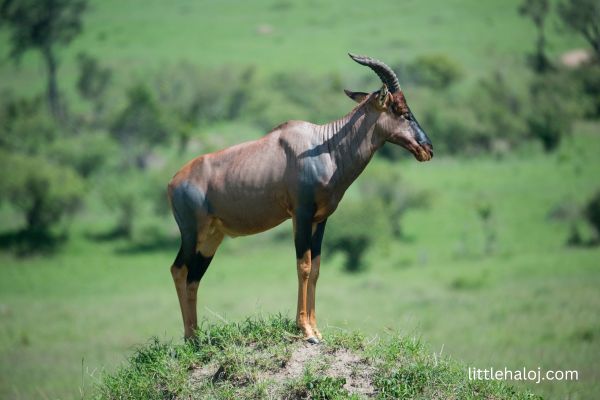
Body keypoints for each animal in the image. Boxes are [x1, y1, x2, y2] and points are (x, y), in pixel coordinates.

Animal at [168, 51, 432, 342]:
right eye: (403, 112)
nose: (427, 149)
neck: (324, 146)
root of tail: (173, 181)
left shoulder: (320, 219)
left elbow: (315, 268)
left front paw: (316, 329)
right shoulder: (301, 215)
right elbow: (303, 266)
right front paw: (305, 330)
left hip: (211, 238)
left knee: (194, 277)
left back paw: (196, 337)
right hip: (192, 232)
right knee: (179, 270)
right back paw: (190, 338)